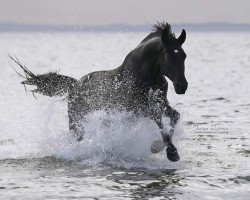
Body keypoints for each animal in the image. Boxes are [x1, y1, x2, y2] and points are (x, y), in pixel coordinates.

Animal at [11, 22, 188, 162]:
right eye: (169, 55)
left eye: (184, 55)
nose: (182, 86)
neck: (144, 75)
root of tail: (75, 85)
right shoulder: (140, 108)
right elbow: (160, 122)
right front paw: (170, 152)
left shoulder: (161, 103)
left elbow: (175, 116)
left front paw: (159, 147)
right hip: (76, 120)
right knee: (76, 137)